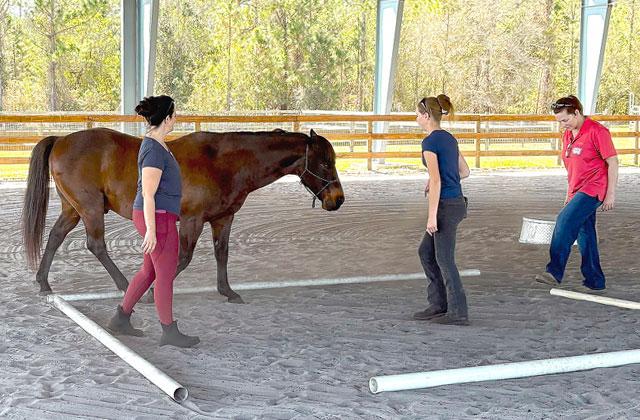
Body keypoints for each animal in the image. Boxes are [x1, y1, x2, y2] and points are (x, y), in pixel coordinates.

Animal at [21, 127, 345, 303]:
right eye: (325, 162)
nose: (338, 199)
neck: (223, 162)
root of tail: (61, 139)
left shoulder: (223, 219)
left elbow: (222, 254)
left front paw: (227, 291)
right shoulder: (192, 220)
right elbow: (183, 259)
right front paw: (153, 291)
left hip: (72, 210)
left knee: (55, 237)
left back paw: (44, 282)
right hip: (89, 208)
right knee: (96, 245)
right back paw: (126, 285)